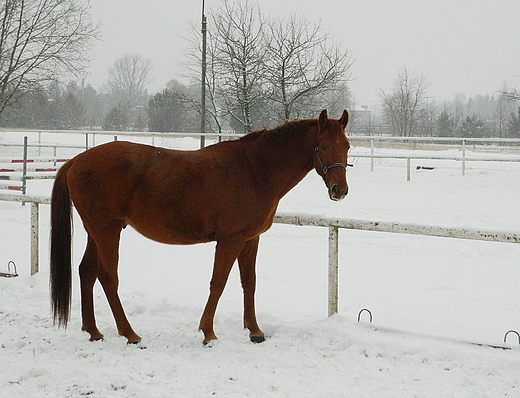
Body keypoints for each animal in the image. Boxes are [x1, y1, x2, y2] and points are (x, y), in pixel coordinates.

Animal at [50, 109, 350, 346]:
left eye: (346, 146)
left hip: (96, 231)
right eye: (324, 147)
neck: (256, 170)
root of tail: (76, 161)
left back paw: (94, 331)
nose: (340, 190)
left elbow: (249, 282)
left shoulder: (250, 239)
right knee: (108, 276)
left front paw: (255, 331)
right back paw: (130, 334)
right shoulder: (230, 240)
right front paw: (208, 333)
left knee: (87, 272)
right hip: (107, 231)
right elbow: (218, 282)